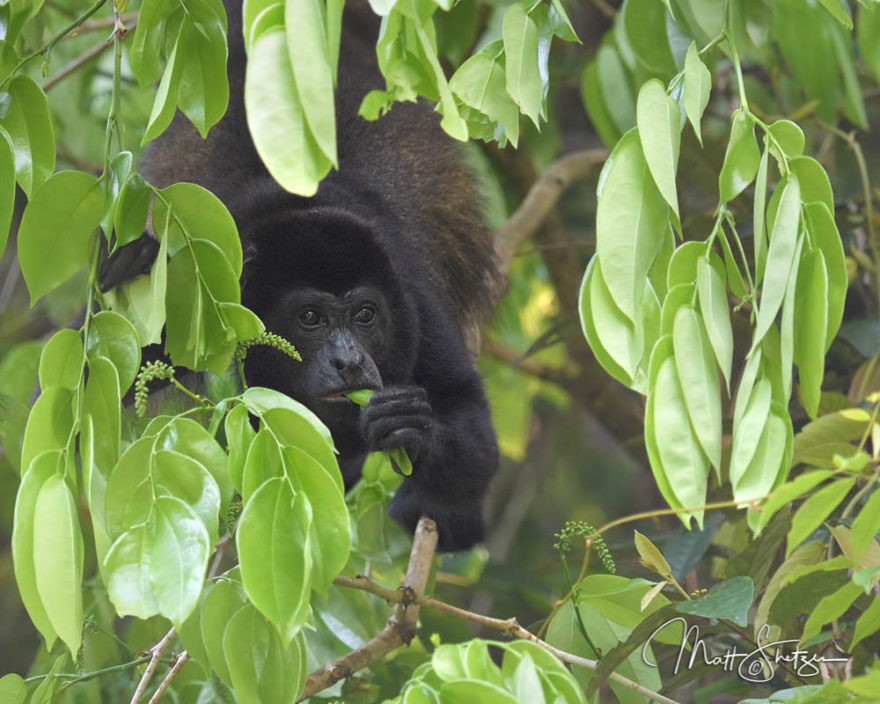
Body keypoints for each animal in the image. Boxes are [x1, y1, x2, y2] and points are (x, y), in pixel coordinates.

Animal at [132, 0, 502, 552]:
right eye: (310, 318)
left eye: (365, 314)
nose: (350, 361)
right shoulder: (184, 295)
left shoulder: (408, 287)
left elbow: (469, 414)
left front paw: (411, 427)